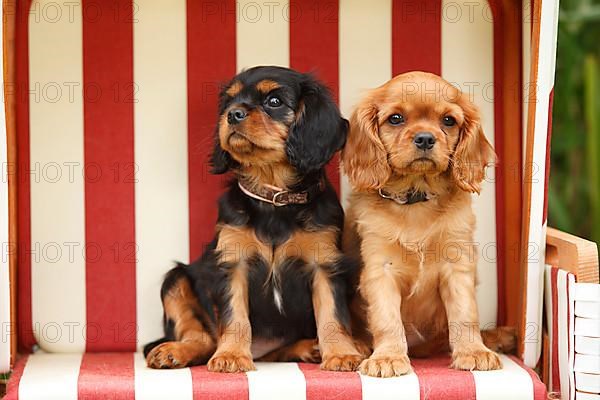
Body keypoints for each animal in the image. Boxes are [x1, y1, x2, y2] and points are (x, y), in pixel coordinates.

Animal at [143, 65, 364, 372]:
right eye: (229, 102)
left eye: (274, 101)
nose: (233, 114)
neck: (273, 195)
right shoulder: (233, 262)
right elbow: (234, 316)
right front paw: (232, 356)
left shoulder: (324, 264)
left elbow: (332, 315)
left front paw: (342, 354)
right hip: (175, 280)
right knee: (201, 338)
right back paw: (176, 351)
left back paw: (316, 348)